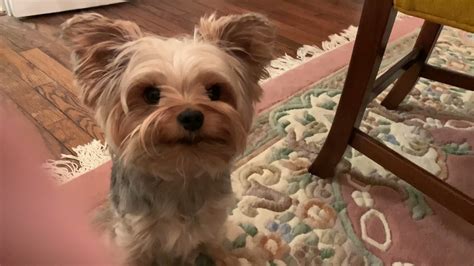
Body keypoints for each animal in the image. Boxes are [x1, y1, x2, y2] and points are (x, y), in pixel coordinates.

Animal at [60, 11, 274, 264]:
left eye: (214, 91)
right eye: (151, 94)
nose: (192, 116)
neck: (181, 172)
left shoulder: (211, 223)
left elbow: (216, 246)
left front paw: (229, 258)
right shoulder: (133, 238)